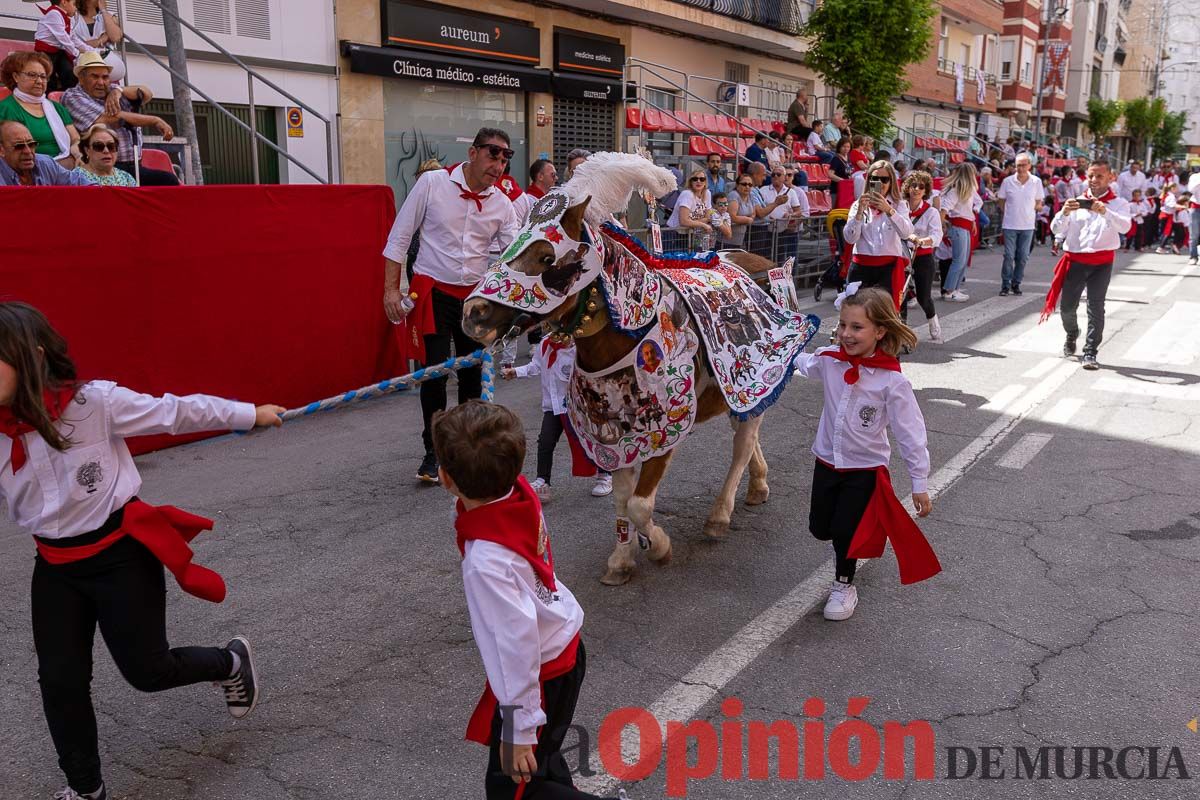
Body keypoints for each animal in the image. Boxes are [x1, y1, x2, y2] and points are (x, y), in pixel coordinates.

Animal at [463, 153, 820, 585]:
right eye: (509, 243)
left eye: (547, 258)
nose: (473, 314)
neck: (630, 333)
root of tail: (766, 265)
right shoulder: (618, 435)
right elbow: (621, 499)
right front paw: (622, 558)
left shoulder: (663, 434)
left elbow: (639, 505)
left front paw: (659, 546)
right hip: (735, 392)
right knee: (745, 431)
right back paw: (758, 485)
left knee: (743, 442)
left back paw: (720, 515)